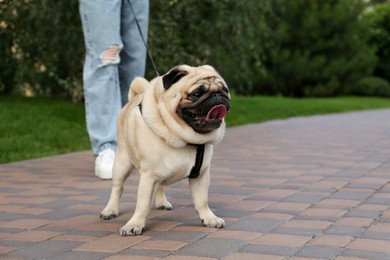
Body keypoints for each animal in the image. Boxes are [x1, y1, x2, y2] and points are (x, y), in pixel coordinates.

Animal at [100, 64, 232, 236]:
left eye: (225, 90)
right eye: (197, 93)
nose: (218, 95)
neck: (184, 139)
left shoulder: (201, 174)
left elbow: (202, 200)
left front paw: (209, 218)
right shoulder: (148, 176)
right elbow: (142, 204)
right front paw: (134, 224)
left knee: (160, 186)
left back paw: (162, 202)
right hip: (122, 163)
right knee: (117, 188)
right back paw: (110, 210)